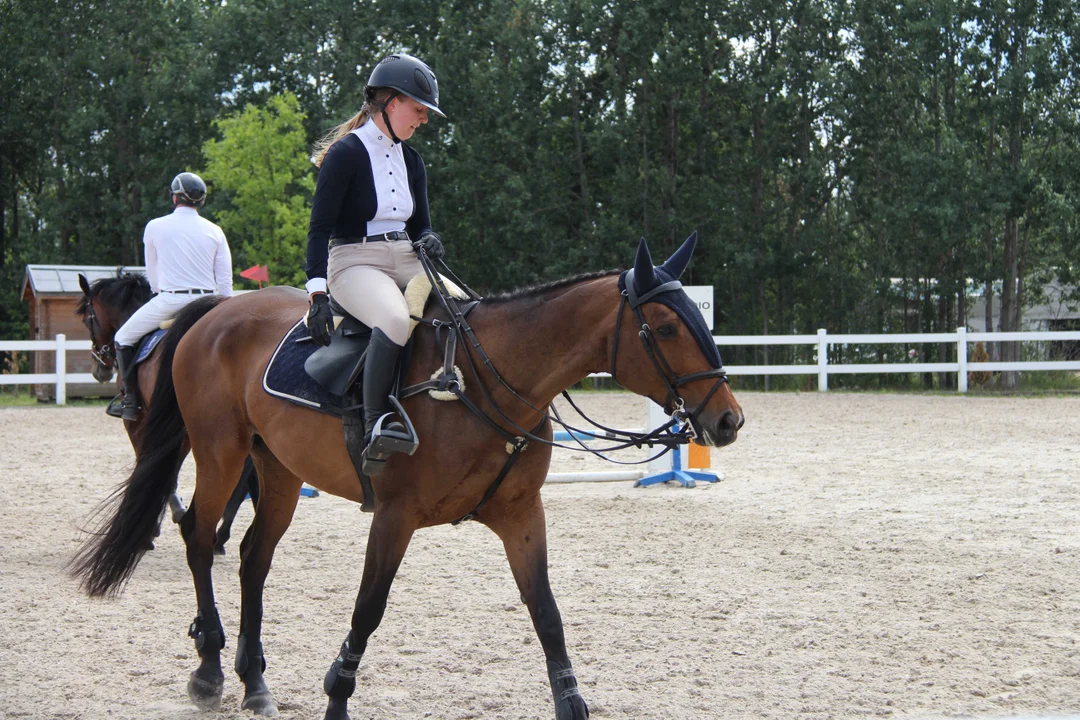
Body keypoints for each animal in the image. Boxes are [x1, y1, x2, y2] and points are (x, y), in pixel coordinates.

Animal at [76, 273, 257, 557]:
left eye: (87, 319)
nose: (99, 370)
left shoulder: (141, 424)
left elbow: (151, 467)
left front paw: (152, 528)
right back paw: (221, 536)